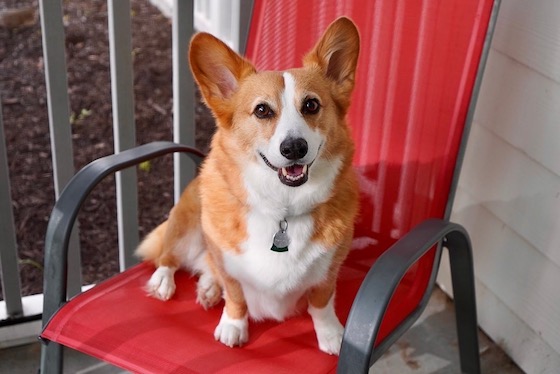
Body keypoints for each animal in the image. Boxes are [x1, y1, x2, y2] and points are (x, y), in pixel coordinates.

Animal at [138, 16, 360, 356]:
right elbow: (236, 296)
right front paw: (233, 326)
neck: (283, 209)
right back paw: (166, 281)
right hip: (188, 224)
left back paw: (207, 288)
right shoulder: (229, 267)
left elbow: (322, 304)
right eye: (262, 110)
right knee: (169, 255)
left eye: (311, 105)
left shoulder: (329, 269)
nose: (293, 148)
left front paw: (332, 336)